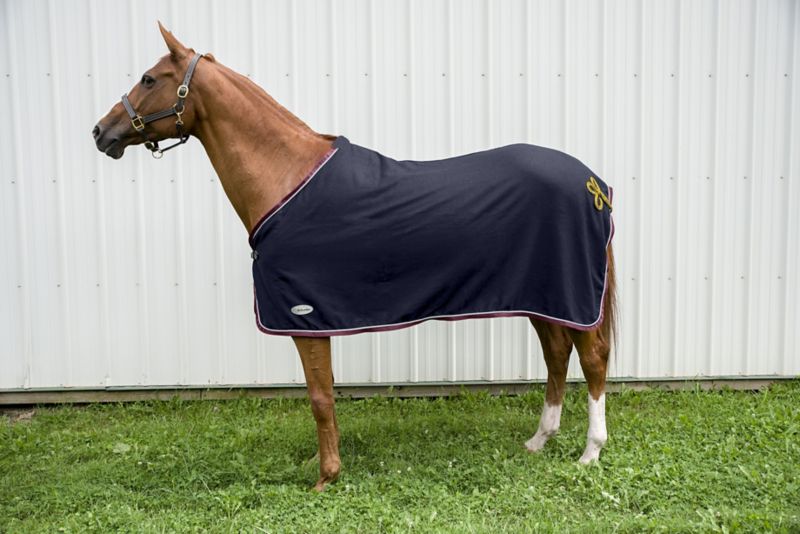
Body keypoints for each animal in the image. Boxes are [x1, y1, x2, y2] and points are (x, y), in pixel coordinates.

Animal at [94, 25, 620, 494]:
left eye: (149, 79)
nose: (101, 131)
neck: (286, 176)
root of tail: (594, 184)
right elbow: (325, 393)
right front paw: (322, 462)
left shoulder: (304, 316)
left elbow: (319, 397)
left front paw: (326, 477)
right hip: (544, 294)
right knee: (556, 355)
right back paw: (539, 440)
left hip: (572, 295)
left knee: (592, 359)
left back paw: (591, 452)